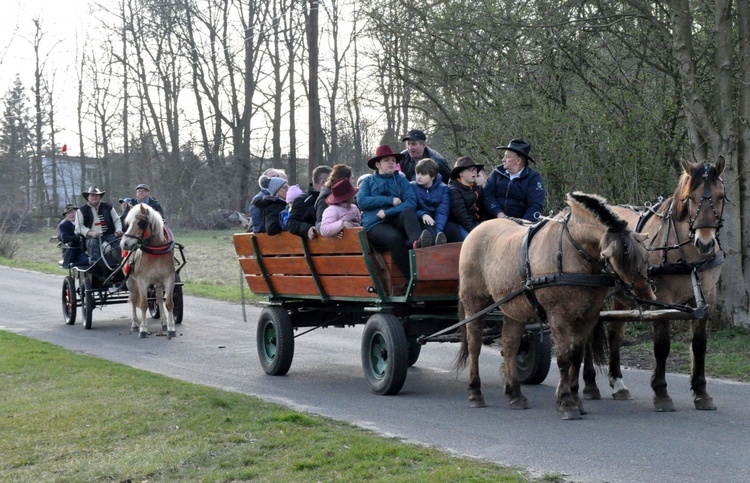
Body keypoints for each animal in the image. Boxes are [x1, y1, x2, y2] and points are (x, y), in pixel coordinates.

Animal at [123, 202, 178, 338]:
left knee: (159, 298)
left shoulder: (169, 279)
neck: (156, 253)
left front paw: (171, 328)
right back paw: (135, 324)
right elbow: (143, 304)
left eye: (140, 223)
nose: (124, 243)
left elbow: (169, 303)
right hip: (131, 282)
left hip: (158, 282)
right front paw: (143, 329)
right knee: (133, 300)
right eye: (128, 223)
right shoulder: (142, 281)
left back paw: (164, 322)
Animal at [456, 192, 656, 420]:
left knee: (510, 345)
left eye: (645, 256)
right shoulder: (559, 316)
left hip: (513, 308)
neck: (573, 253)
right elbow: (564, 357)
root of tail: (477, 230)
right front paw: (566, 401)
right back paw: (475, 392)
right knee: (475, 345)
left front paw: (575, 398)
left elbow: (576, 356)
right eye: (621, 258)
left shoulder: (588, 316)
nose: (646, 296)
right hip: (474, 304)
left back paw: (515, 394)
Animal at [580, 156, 728, 412]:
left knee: (615, 332)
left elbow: (699, 346)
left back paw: (618, 384)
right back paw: (590, 384)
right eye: (690, 198)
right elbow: (662, 346)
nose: (705, 243)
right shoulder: (663, 301)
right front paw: (661, 393)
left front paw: (701, 393)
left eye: (720, 196)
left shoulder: (706, 299)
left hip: (620, 295)